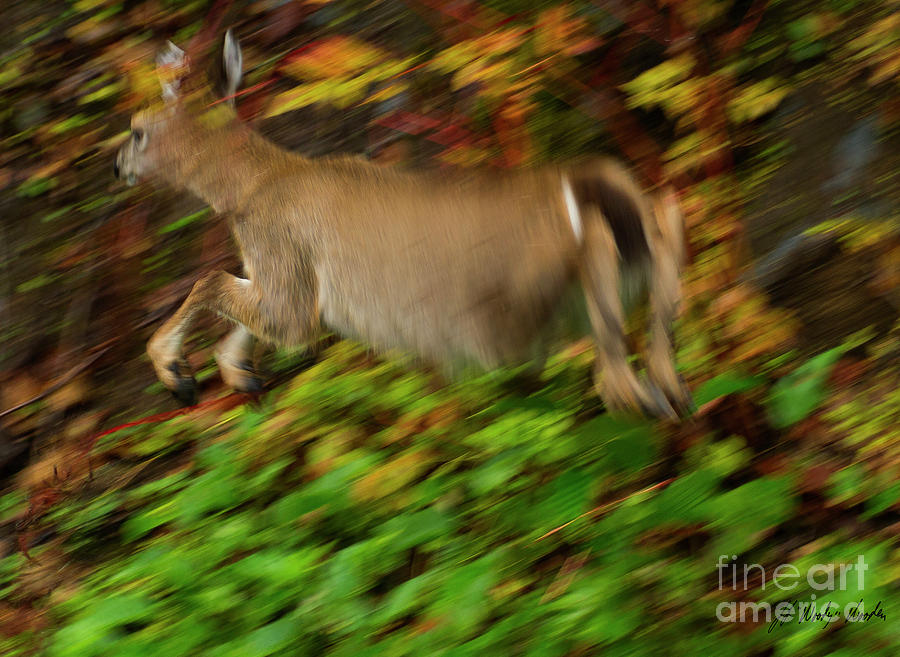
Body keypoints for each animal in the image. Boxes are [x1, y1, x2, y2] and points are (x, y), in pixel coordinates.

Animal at [112, 30, 688, 418]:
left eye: (138, 130)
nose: (117, 165)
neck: (252, 186)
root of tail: (601, 194)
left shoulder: (287, 273)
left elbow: (214, 282)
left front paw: (177, 374)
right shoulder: (285, 281)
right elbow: (241, 298)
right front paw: (238, 374)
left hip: (528, 299)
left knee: (617, 377)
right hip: (638, 236)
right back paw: (672, 391)